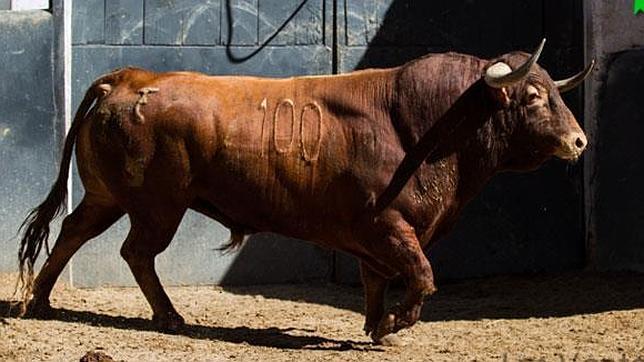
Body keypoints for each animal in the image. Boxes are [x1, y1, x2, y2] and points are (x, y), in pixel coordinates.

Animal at [16, 38, 588, 344]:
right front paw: (395, 322)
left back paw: (39, 302)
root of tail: (129, 77)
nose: (579, 141)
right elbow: (422, 276)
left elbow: (378, 280)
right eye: (533, 96)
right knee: (135, 251)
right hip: (158, 207)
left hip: (107, 197)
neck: (425, 123)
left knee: (71, 232)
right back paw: (170, 317)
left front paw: (378, 327)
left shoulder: (375, 237)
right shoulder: (387, 225)